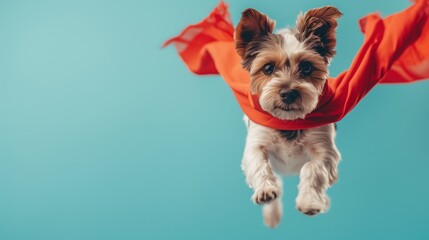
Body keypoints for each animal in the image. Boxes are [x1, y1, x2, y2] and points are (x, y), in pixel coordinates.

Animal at [234, 5, 342, 227]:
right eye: (268, 68)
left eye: (307, 67)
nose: (288, 94)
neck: (288, 121)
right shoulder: (256, 143)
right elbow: (259, 164)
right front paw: (266, 191)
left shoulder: (325, 149)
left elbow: (312, 168)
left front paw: (310, 202)